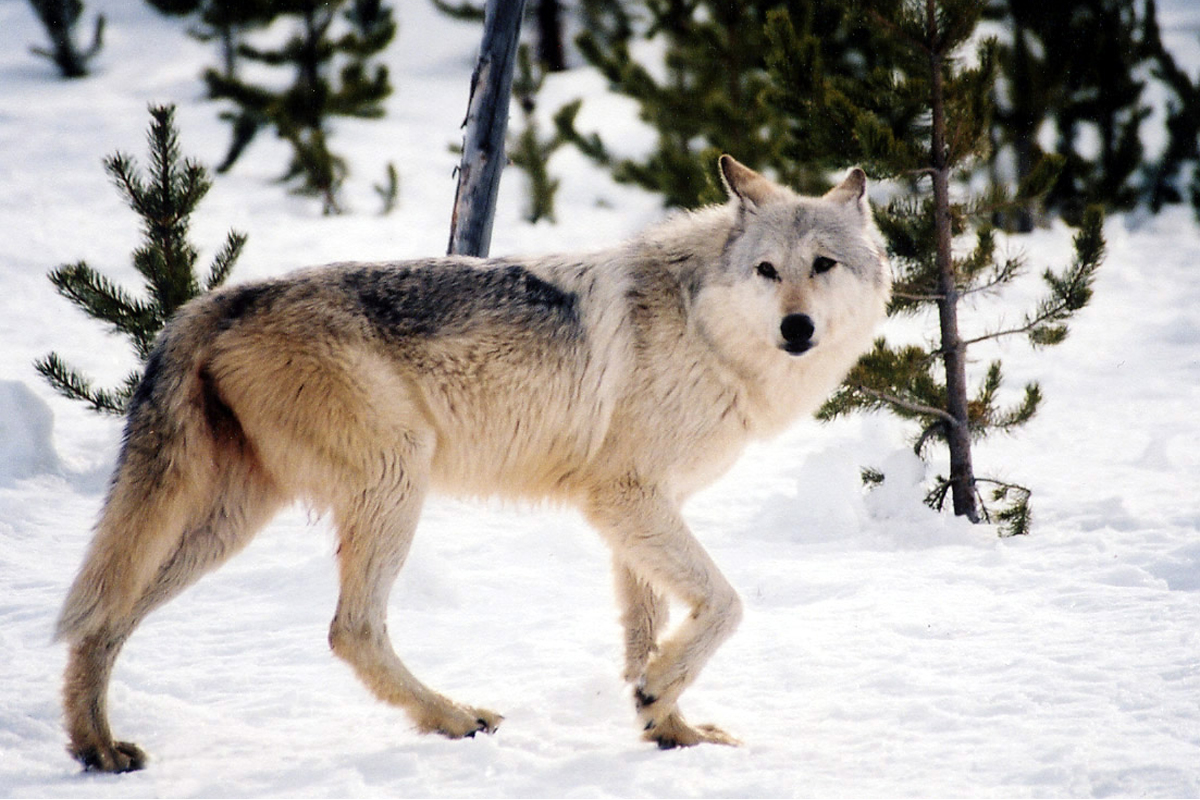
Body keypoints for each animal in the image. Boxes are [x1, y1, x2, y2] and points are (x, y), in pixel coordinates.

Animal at [55, 155, 890, 771]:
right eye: (766, 270)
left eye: (823, 265)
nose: (796, 328)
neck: (704, 328)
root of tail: (216, 301)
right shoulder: (624, 498)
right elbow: (724, 605)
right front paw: (660, 699)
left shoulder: (640, 511)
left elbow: (646, 634)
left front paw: (668, 727)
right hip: (396, 480)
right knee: (350, 630)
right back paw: (452, 717)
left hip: (229, 521)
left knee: (103, 620)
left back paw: (96, 747)